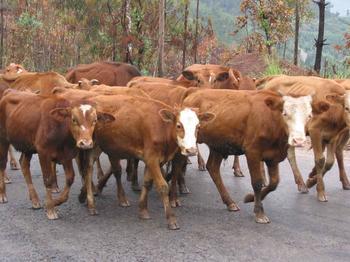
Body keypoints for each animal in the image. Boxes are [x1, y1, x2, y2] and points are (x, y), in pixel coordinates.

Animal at [0, 90, 113, 219]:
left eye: (94, 120)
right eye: (74, 119)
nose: (86, 143)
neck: (61, 130)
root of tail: (10, 91)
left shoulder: (67, 155)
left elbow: (70, 178)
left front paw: (56, 202)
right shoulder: (43, 153)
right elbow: (48, 179)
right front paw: (50, 208)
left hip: (27, 146)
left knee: (24, 164)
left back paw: (34, 200)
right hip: (3, 140)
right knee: (2, 164)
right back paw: (2, 194)